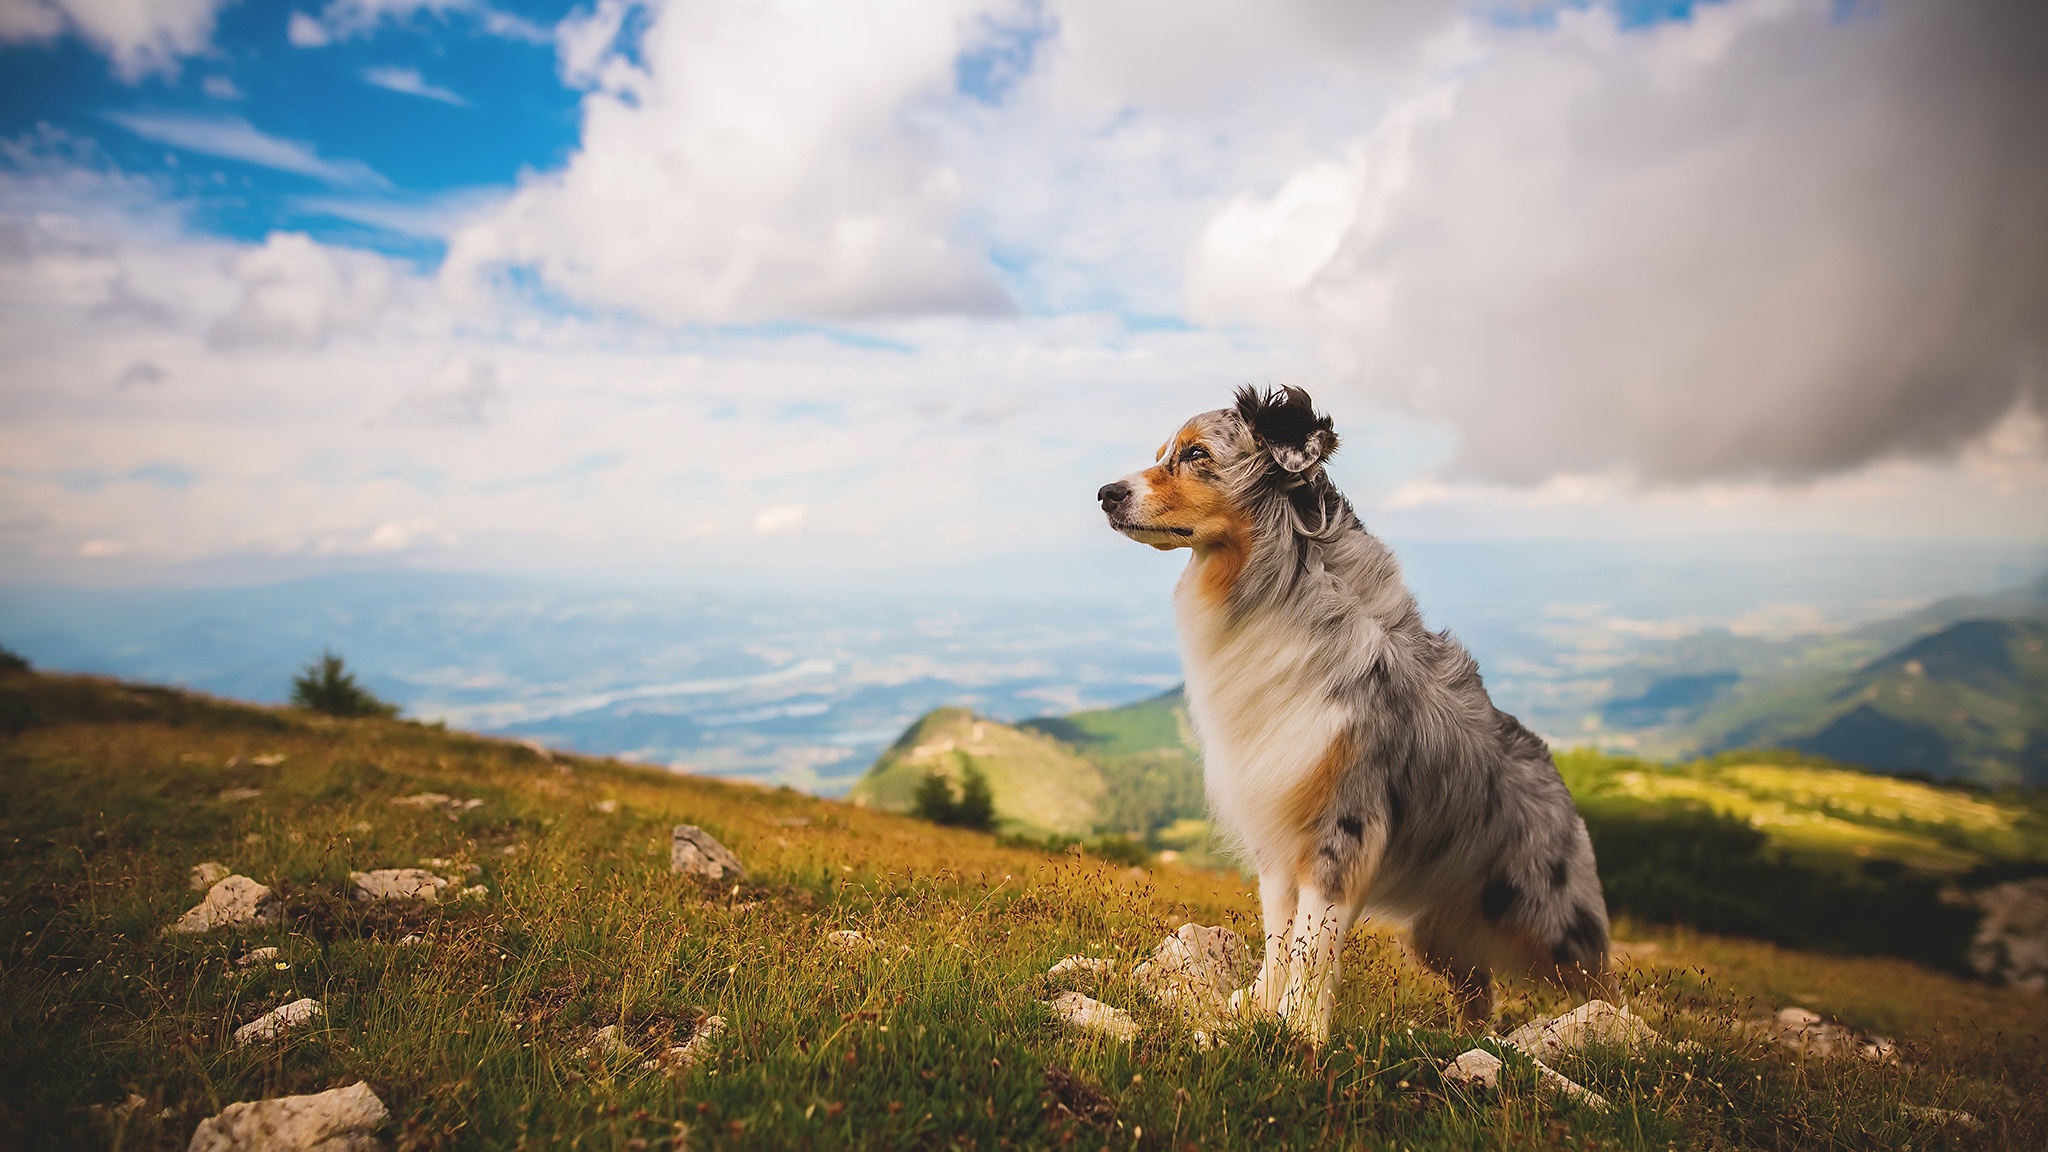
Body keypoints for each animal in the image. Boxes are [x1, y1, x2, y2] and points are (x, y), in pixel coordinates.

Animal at [1097, 385, 1605, 1041]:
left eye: (1197, 454)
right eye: (1163, 453)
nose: (1106, 493)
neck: (1283, 586)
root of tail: (1553, 766)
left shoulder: (1342, 825)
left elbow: (1313, 943)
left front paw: (1297, 1030)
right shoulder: (1276, 829)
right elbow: (1279, 936)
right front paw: (1259, 1010)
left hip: (1551, 923)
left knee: (1596, 984)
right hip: (1441, 935)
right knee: (1479, 988)